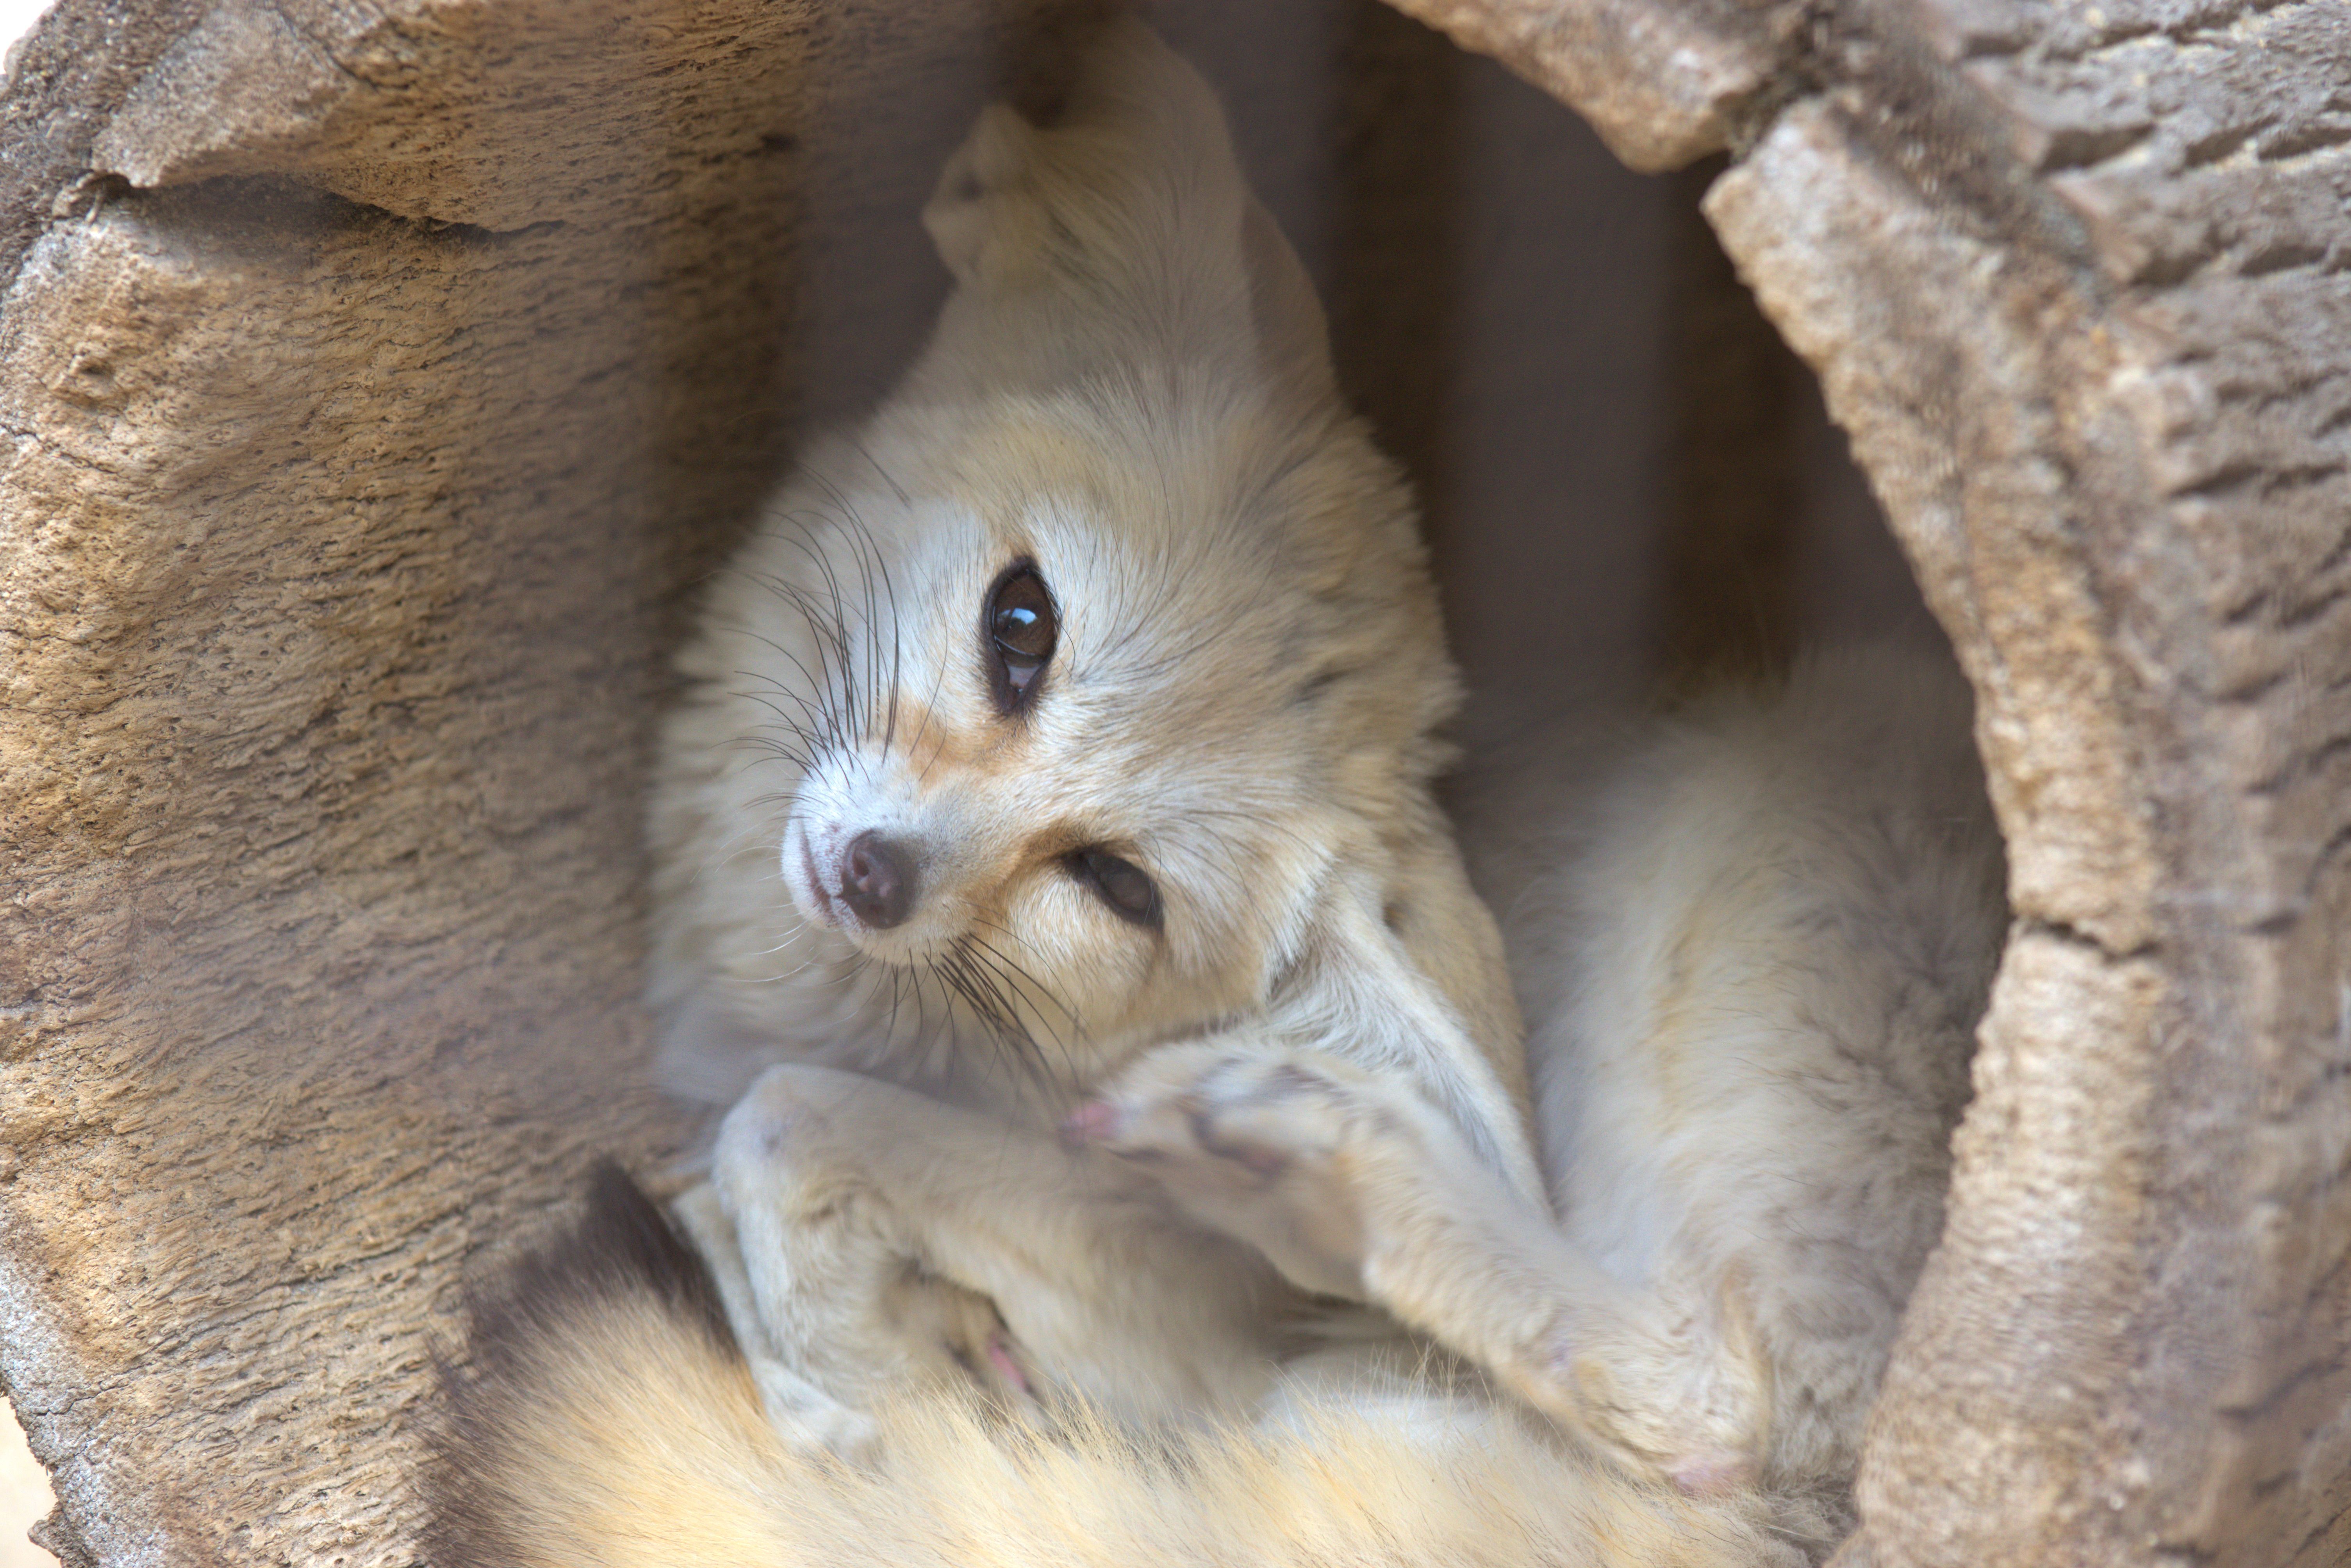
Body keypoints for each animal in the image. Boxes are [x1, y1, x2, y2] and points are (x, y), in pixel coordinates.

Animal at [427, 19, 2006, 1568]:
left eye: (1117, 886)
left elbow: (783, 1124)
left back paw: (1330, 1159)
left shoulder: (1172, 1294)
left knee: (1711, 1392)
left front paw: (852, 1385)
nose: (874, 874)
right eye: (1020, 625)